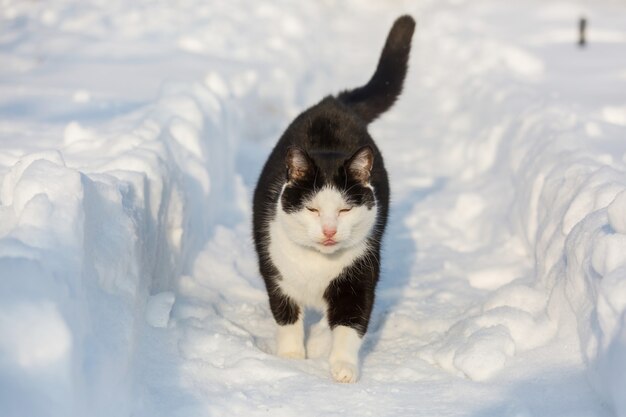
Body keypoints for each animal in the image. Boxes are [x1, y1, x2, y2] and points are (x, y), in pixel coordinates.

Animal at [251, 14, 412, 382]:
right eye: (312, 209)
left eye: (345, 209)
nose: (328, 231)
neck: (317, 265)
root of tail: (333, 103)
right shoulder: (275, 272)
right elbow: (286, 317)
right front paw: (292, 359)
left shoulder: (359, 275)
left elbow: (350, 324)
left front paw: (342, 368)